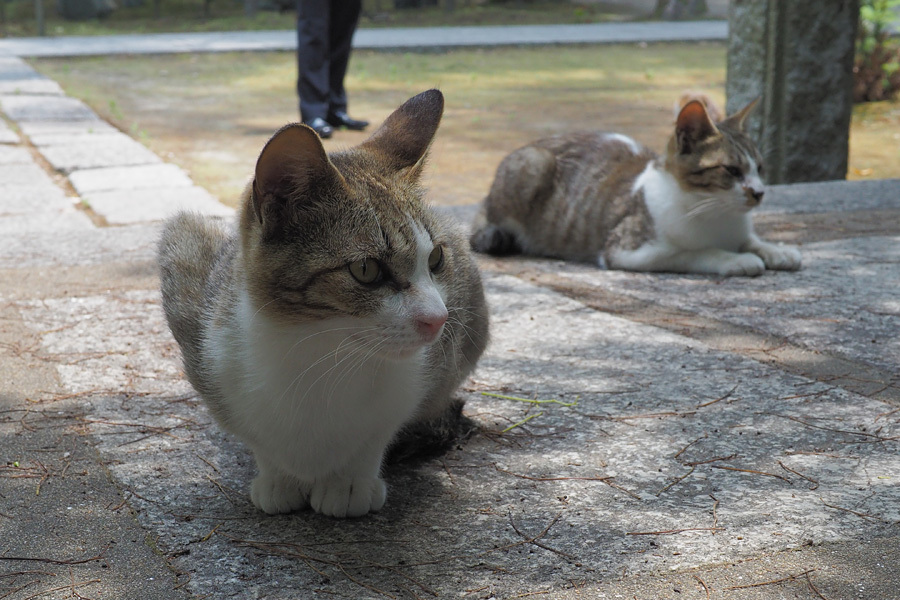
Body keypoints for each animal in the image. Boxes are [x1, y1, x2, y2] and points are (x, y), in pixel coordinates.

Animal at [158, 90, 488, 520]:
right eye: (366, 269)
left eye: (435, 260)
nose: (439, 320)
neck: (320, 355)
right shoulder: (190, 279)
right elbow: (254, 435)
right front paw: (277, 478)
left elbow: (379, 431)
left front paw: (349, 483)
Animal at [472, 98, 800, 276]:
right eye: (732, 170)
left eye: (760, 168)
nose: (759, 192)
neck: (716, 214)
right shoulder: (628, 250)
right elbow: (695, 252)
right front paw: (736, 259)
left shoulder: (738, 230)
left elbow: (751, 239)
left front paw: (774, 250)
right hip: (533, 163)